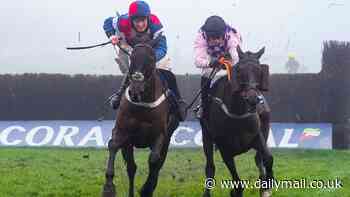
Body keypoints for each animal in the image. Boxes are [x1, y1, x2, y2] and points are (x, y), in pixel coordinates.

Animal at [100, 43, 178, 197]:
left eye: (151, 60)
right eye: (132, 58)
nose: (135, 91)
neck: (143, 105)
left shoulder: (160, 135)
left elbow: (154, 159)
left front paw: (146, 188)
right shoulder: (122, 132)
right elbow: (113, 145)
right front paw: (109, 187)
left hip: (167, 139)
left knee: (157, 163)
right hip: (128, 144)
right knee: (132, 167)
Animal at [202, 46, 274, 197]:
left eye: (259, 70)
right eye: (240, 70)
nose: (252, 99)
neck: (237, 114)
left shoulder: (257, 136)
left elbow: (268, 158)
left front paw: (266, 187)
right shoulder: (224, 148)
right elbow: (237, 180)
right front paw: (234, 191)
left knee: (258, 159)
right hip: (206, 136)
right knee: (210, 166)